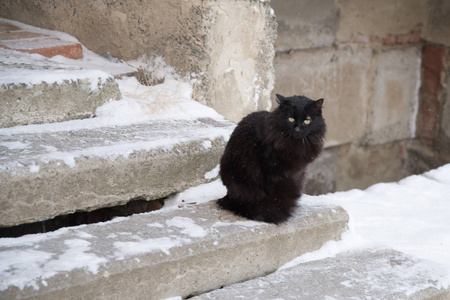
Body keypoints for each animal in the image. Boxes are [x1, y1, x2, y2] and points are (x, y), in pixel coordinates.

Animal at [217, 94, 326, 223]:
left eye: (307, 121)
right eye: (291, 119)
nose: (298, 129)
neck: (295, 145)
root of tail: (229, 196)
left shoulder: (294, 171)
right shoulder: (269, 169)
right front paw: (274, 206)